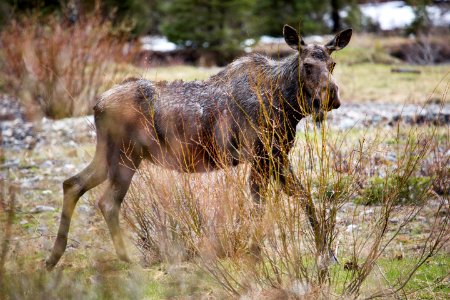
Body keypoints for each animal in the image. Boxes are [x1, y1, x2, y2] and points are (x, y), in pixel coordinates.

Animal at [45, 25, 352, 270]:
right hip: (127, 156)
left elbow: (304, 198)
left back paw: (53, 258)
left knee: (72, 184)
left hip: (108, 155)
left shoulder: (275, 156)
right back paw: (126, 259)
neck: (287, 104)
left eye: (333, 64)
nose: (331, 97)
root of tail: (97, 104)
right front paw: (255, 255)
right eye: (307, 65)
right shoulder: (261, 155)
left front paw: (327, 256)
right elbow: (260, 206)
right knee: (107, 201)